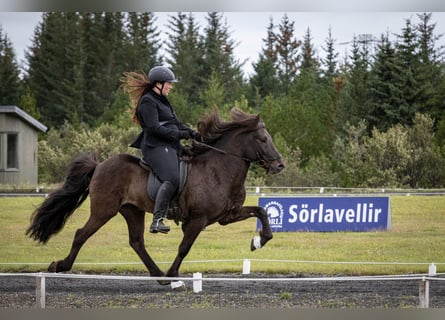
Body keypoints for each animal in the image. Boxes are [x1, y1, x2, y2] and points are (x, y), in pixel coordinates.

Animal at [26, 107, 284, 280]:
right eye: (263, 139)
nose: (279, 165)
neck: (219, 169)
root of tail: (99, 165)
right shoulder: (198, 219)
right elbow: (185, 247)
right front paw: (173, 273)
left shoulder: (227, 215)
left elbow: (261, 212)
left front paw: (258, 242)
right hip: (104, 210)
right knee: (82, 234)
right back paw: (60, 266)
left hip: (132, 210)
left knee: (136, 241)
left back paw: (157, 274)